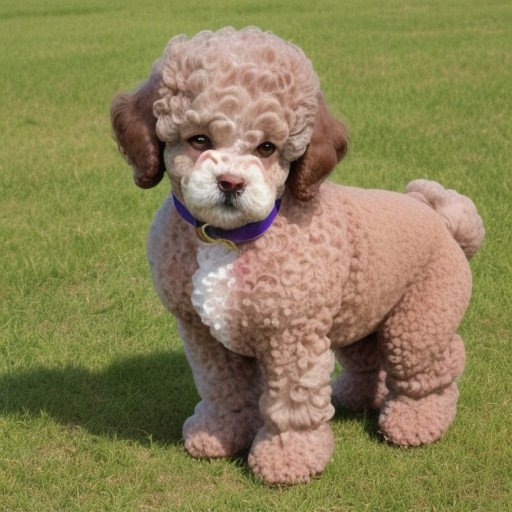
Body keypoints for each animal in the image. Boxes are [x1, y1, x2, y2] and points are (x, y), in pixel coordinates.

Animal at [109, 28, 484, 484]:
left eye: (268, 148)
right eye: (199, 140)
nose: (231, 182)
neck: (230, 238)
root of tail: (444, 219)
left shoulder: (292, 337)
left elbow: (290, 404)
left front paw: (288, 460)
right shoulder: (203, 334)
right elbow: (223, 389)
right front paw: (218, 435)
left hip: (418, 321)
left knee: (435, 366)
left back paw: (416, 421)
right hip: (362, 313)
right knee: (367, 359)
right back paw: (354, 396)